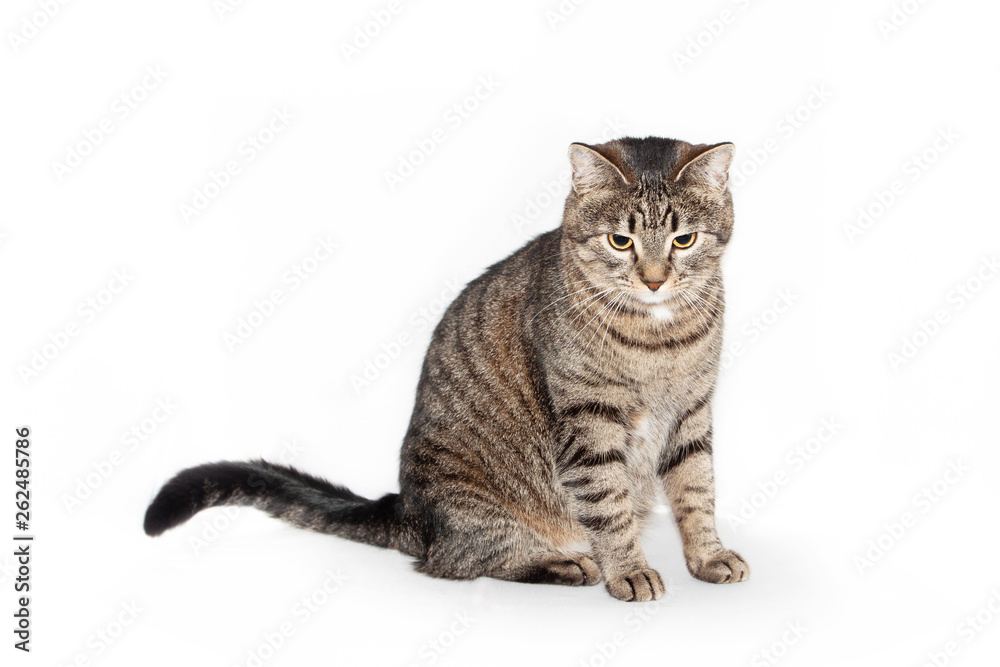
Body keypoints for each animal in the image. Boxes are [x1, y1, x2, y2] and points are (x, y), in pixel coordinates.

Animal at [145, 134, 748, 600]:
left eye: (683, 239)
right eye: (620, 241)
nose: (654, 280)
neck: (658, 339)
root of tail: (409, 513)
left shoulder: (693, 412)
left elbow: (697, 490)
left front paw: (707, 555)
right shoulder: (588, 422)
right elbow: (609, 505)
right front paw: (629, 569)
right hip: (478, 504)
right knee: (459, 561)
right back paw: (564, 562)